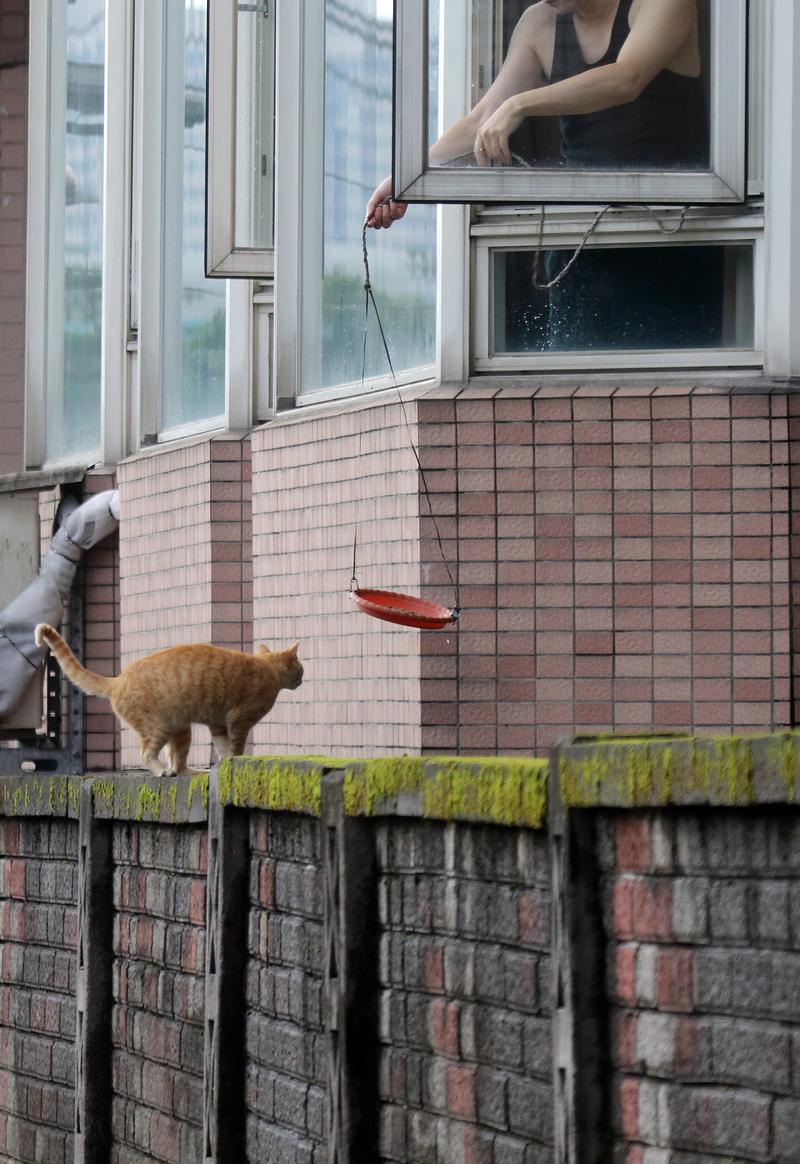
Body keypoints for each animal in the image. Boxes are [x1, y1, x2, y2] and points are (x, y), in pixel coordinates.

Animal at [33, 623, 302, 777]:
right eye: (300, 669)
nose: (301, 681)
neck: (268, 669)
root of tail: (117, 680)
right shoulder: (239, 720)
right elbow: (236, 746)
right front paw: (236, 760)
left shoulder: (217, 724)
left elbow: (222, 747)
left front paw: (226, 762)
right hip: (159, 727)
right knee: (149, 755)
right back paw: (165, 772)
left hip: (180, 728)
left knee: (177, 762)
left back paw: (190, 772)